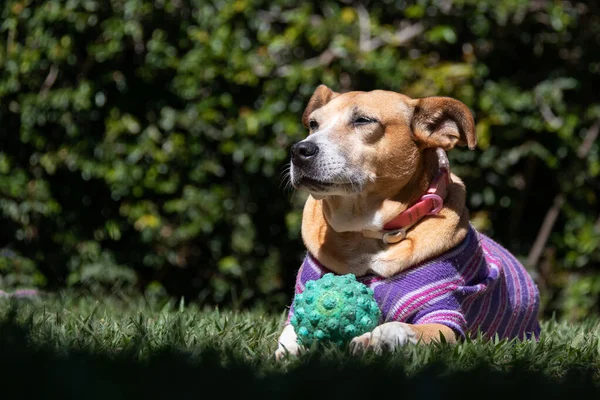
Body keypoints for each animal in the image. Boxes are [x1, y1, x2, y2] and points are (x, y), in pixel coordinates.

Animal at [274, 85, 540, 360]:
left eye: (363, 120)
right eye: (313, 123)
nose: (299, 151)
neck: (364, 234)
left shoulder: (444, 316)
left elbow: (402, 328)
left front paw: (375, 339)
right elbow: (289, 330)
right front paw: (291, 349)